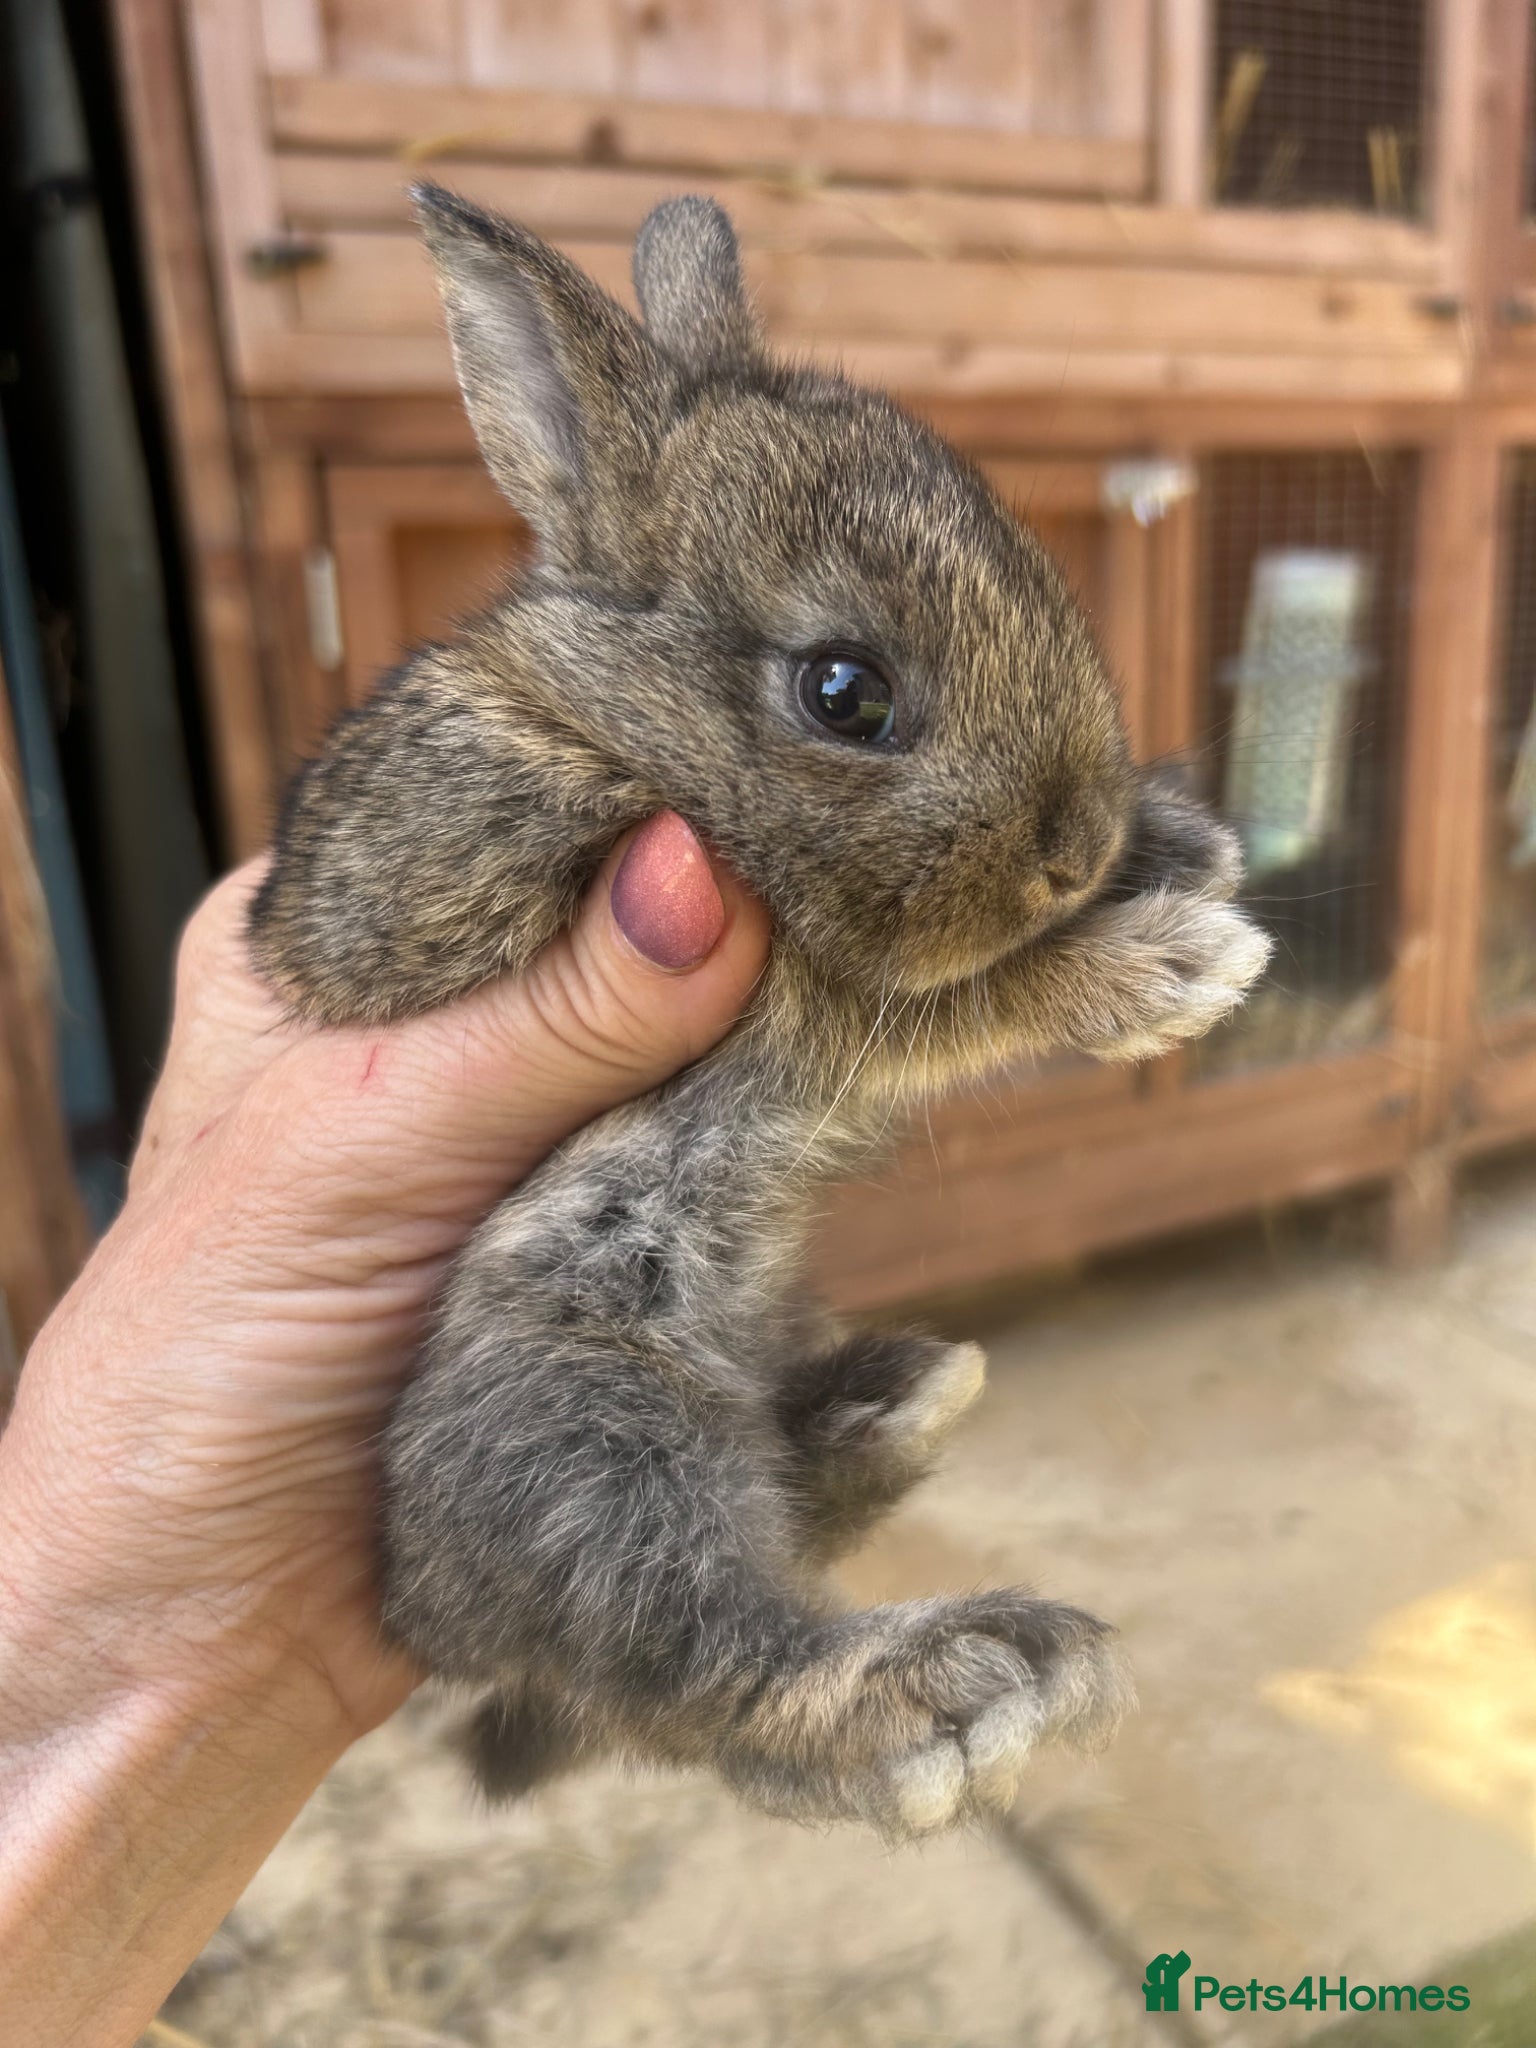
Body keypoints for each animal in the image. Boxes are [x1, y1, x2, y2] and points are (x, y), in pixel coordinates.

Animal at [249, 184, 1270, 1841]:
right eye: (845, 692)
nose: (1074, 849)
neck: (617, 719)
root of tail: (436, 1630)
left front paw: (1183, 848)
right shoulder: (741, 959)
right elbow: (944, 994)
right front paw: (1173, 963)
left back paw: (893, 1403)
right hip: (581, 1414)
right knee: (691, 1667)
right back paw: (964, 1679)